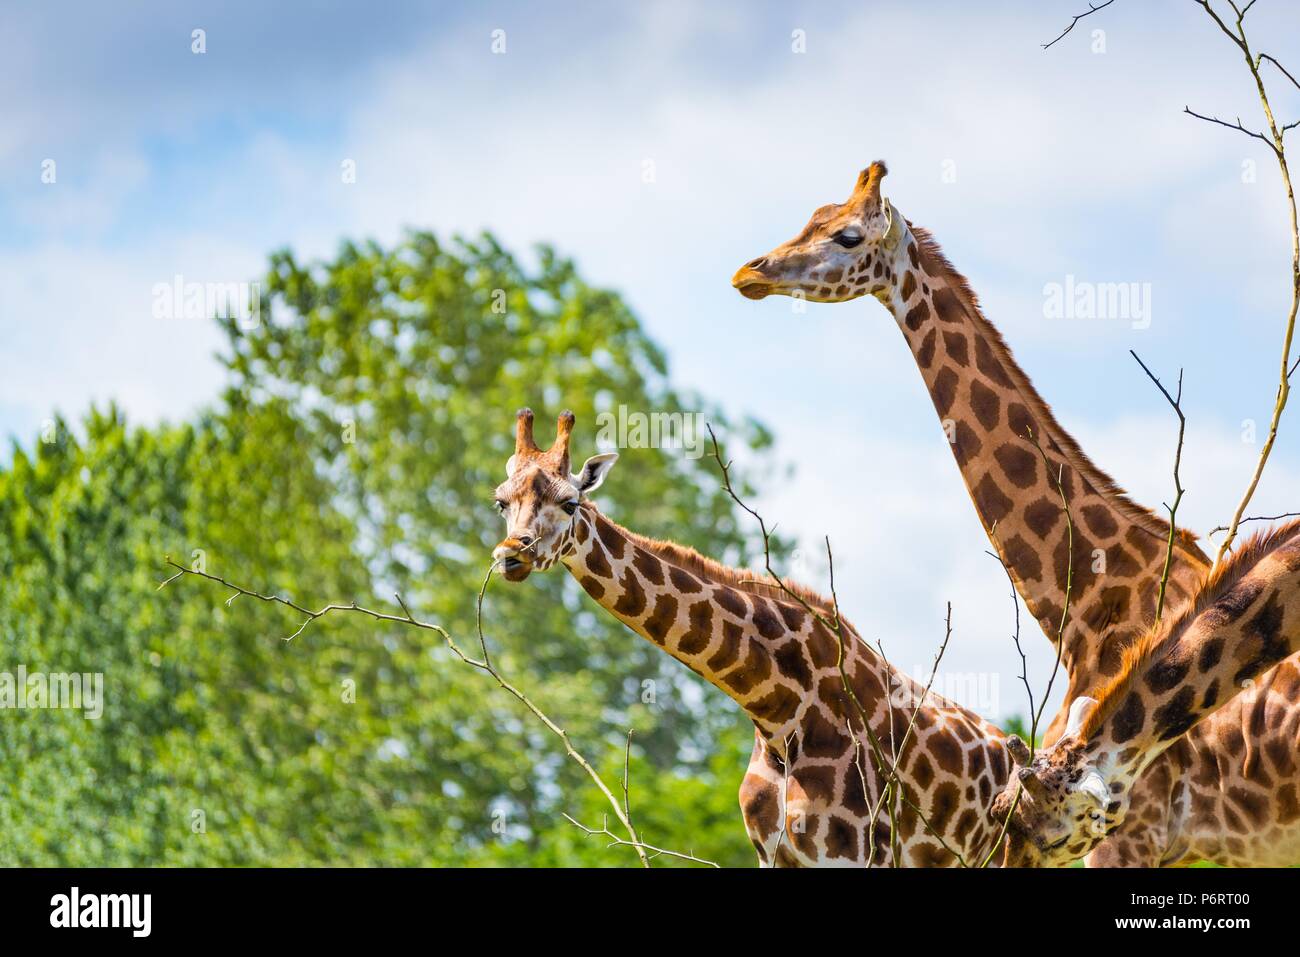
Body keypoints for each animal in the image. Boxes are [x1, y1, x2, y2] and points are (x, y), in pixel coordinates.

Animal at [491, 407, 1016, 866]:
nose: (510, 555)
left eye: (570, 502)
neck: (778, 712)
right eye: (500, 502)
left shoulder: (862, 853)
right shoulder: (775, 855)